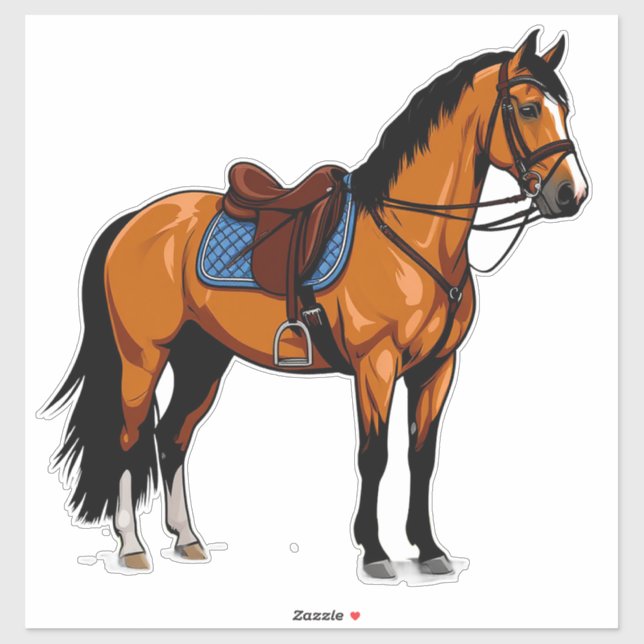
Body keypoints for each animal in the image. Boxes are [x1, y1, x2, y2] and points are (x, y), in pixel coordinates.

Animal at [41, 29, 589, 578]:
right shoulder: (376, 365)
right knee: (128, 439)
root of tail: (134, 221)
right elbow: (374, 455)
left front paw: (429, 549)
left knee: (173, 436)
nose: (571, 193)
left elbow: (422, 456)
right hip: (143, 357)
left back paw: (188, 539)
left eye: (565, 108)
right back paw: (133, 547)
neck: (410, 236)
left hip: (203, 357)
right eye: (527, 108)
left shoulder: (437, 367)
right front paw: (375, 552)